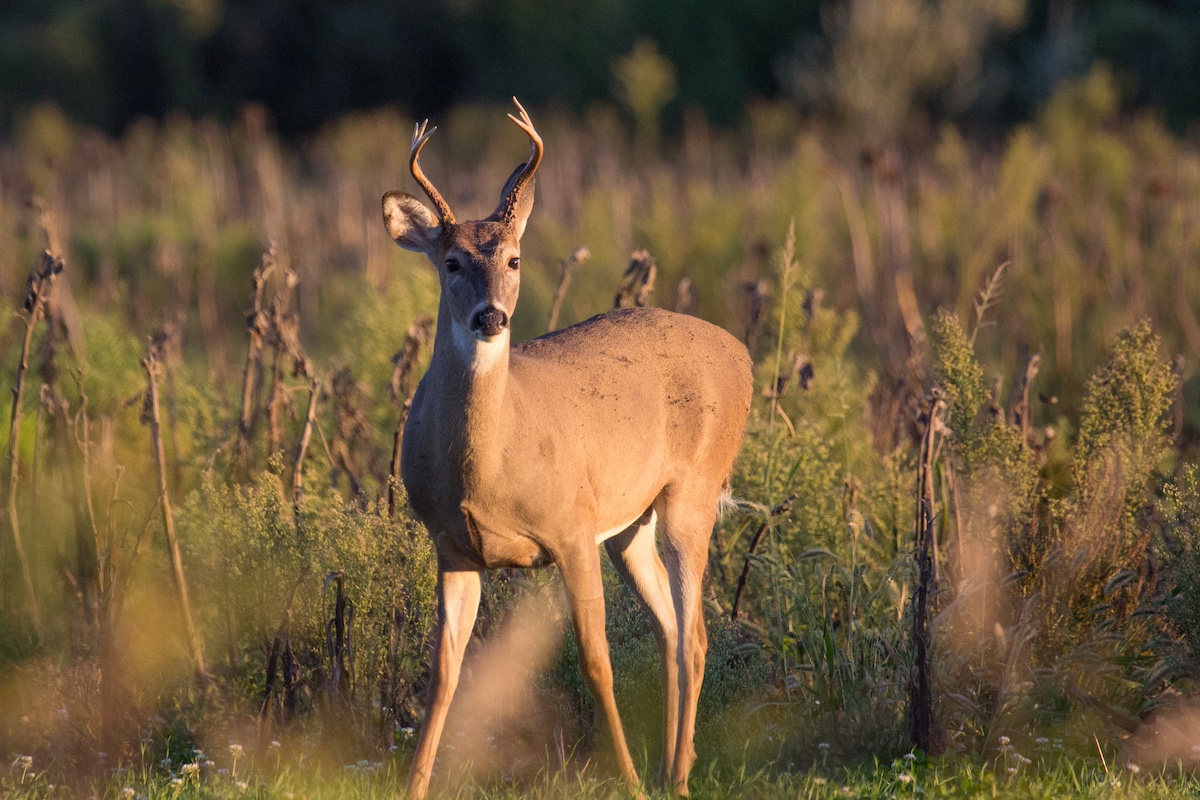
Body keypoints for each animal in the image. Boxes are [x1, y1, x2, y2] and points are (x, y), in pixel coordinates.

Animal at [382, 99, 752, 799]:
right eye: (451, 263)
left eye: (514, 259)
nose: (491, 317)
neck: (485, 469)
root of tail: (742, 353)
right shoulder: (453, 546)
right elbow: (444, 671)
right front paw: (413, 785)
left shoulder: (572, 526)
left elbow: (596, 659)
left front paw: (627, 779)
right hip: (631, 524)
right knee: (669, 627)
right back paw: (674, 763)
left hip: (691, 492)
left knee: (694, 634)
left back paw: (675, 776)